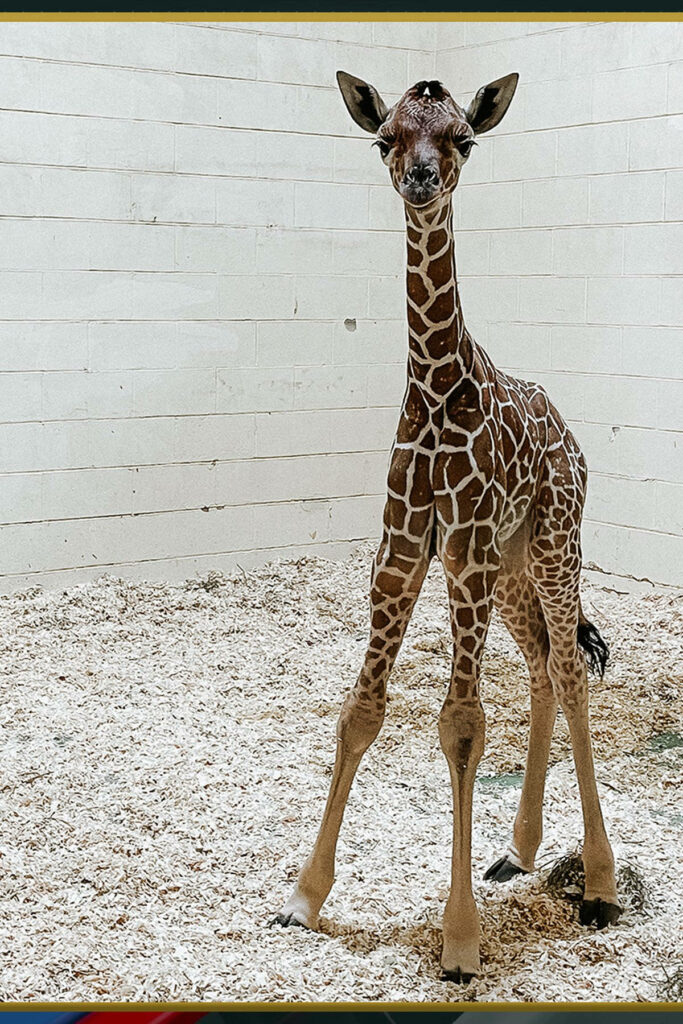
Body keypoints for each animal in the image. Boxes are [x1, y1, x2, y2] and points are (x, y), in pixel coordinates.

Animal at [274, 72, 621, 982]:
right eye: (384, 138)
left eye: (462, 138)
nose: (421, 180)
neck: (434, 386)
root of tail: (570, 435)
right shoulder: (400, 551)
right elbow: (360, 712)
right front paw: (304, 898)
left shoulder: (458, 552)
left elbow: (461, 726)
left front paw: (459, 941)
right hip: (512, 566)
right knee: (541, 666)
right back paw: (519, 850)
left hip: (552, 542)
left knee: (568, 670)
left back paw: (598, 885)